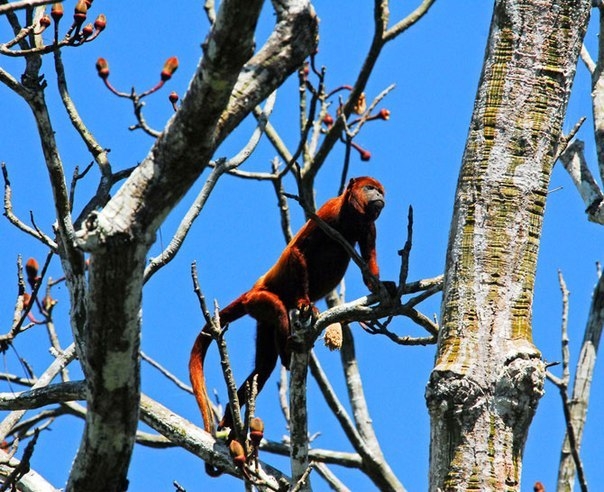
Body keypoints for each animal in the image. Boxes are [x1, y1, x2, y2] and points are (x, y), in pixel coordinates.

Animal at [189, 178, 386, 466]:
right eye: (369, 188)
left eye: (380, 191)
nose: (380, 197)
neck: (350, 217)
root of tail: (251, 291)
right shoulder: (327, 213)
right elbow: (297, 251)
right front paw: (305, 301)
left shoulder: (369, 227)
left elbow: (369, 268)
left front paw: (385, 287)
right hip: (260, 301)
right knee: (280, 314)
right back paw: (286, 351)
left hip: (261, 320)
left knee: (263, 368)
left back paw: (229, 414)